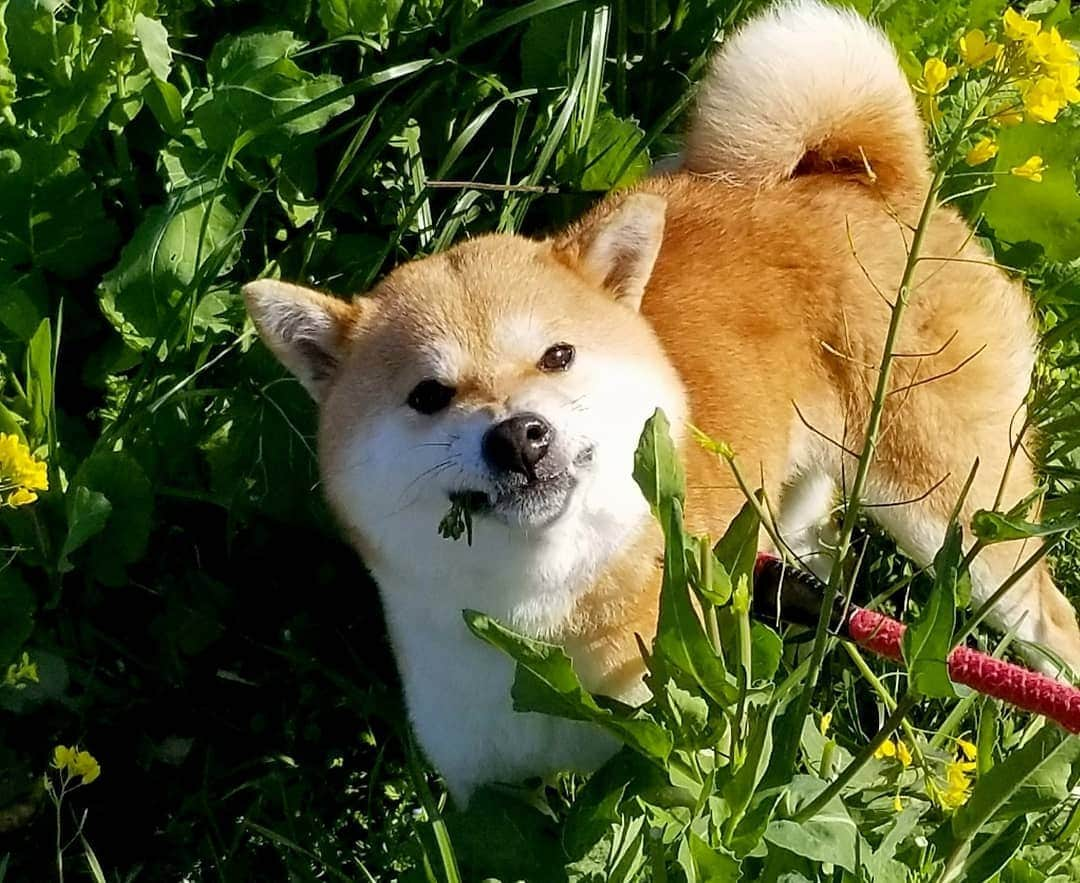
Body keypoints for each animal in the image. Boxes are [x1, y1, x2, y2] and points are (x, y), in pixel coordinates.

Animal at [243, 0, 1080, 798]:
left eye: (557, 356)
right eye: (428, 394)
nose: (519, 435)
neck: (536, 618)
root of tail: (864, 181)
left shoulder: (668, 752)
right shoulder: (485, 785)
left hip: (956, 515)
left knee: (1047, 615)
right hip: (793, 505)